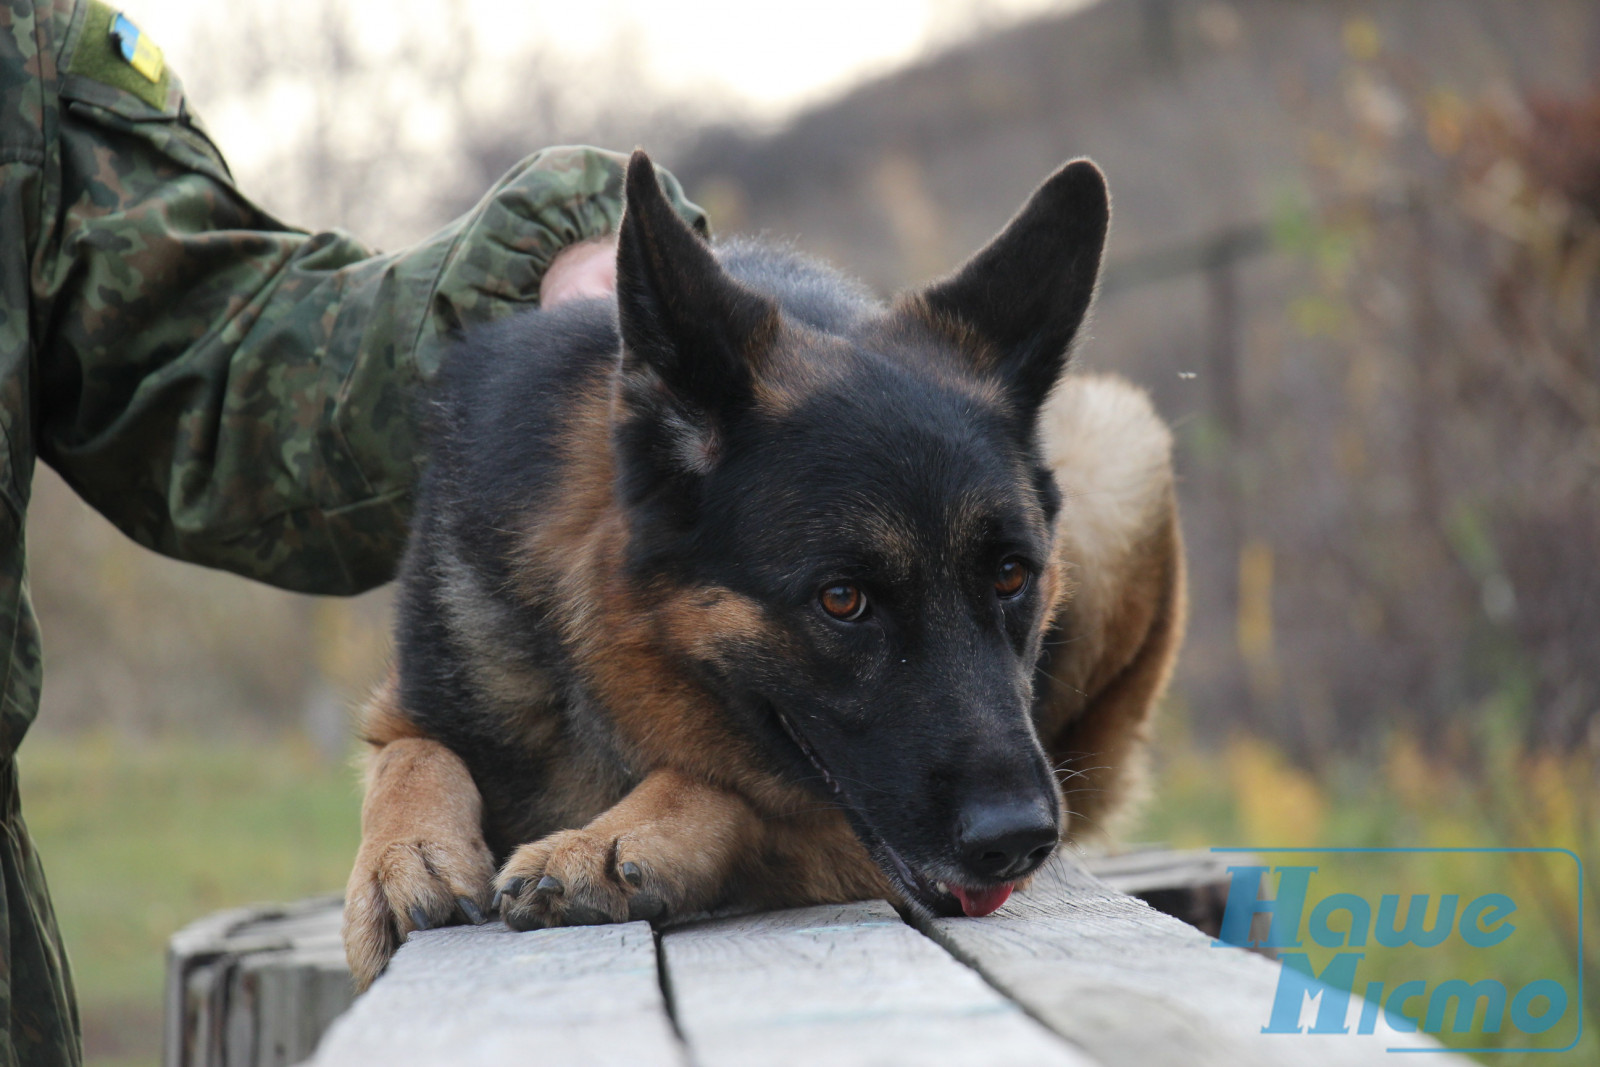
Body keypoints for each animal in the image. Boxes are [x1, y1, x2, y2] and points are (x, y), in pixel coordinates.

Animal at [340, 151, 1190, 991]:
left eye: (1013, 576)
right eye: (842, 599)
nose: (1017, 840)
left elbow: (731, 784)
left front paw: (613, 841)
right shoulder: (412, 702)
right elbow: (412, 754)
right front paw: (403, 859)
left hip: (1118, 438)